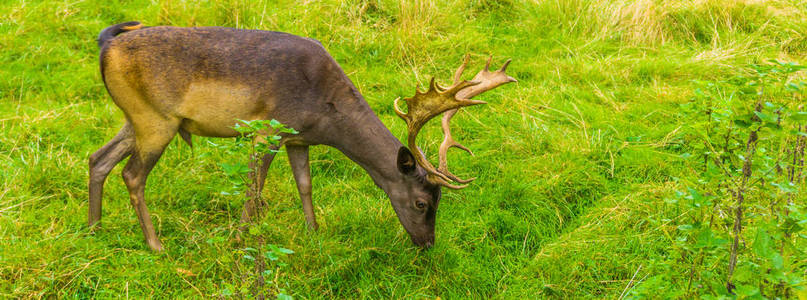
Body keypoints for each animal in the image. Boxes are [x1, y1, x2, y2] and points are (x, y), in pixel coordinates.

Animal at [90, 21, 516, 251]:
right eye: (422, 203)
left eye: (440, 200)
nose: (427, 243)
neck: (324, 112)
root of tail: (107, 43)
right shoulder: (268, 131)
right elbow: (254, 190)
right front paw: (239, 240)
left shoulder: (298, 138)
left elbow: (305, 185)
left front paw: (314, 233)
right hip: (155, 120)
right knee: (132, 174)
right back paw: (155, 244)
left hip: (136, 119)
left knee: (98, 158)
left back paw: (94, 228)